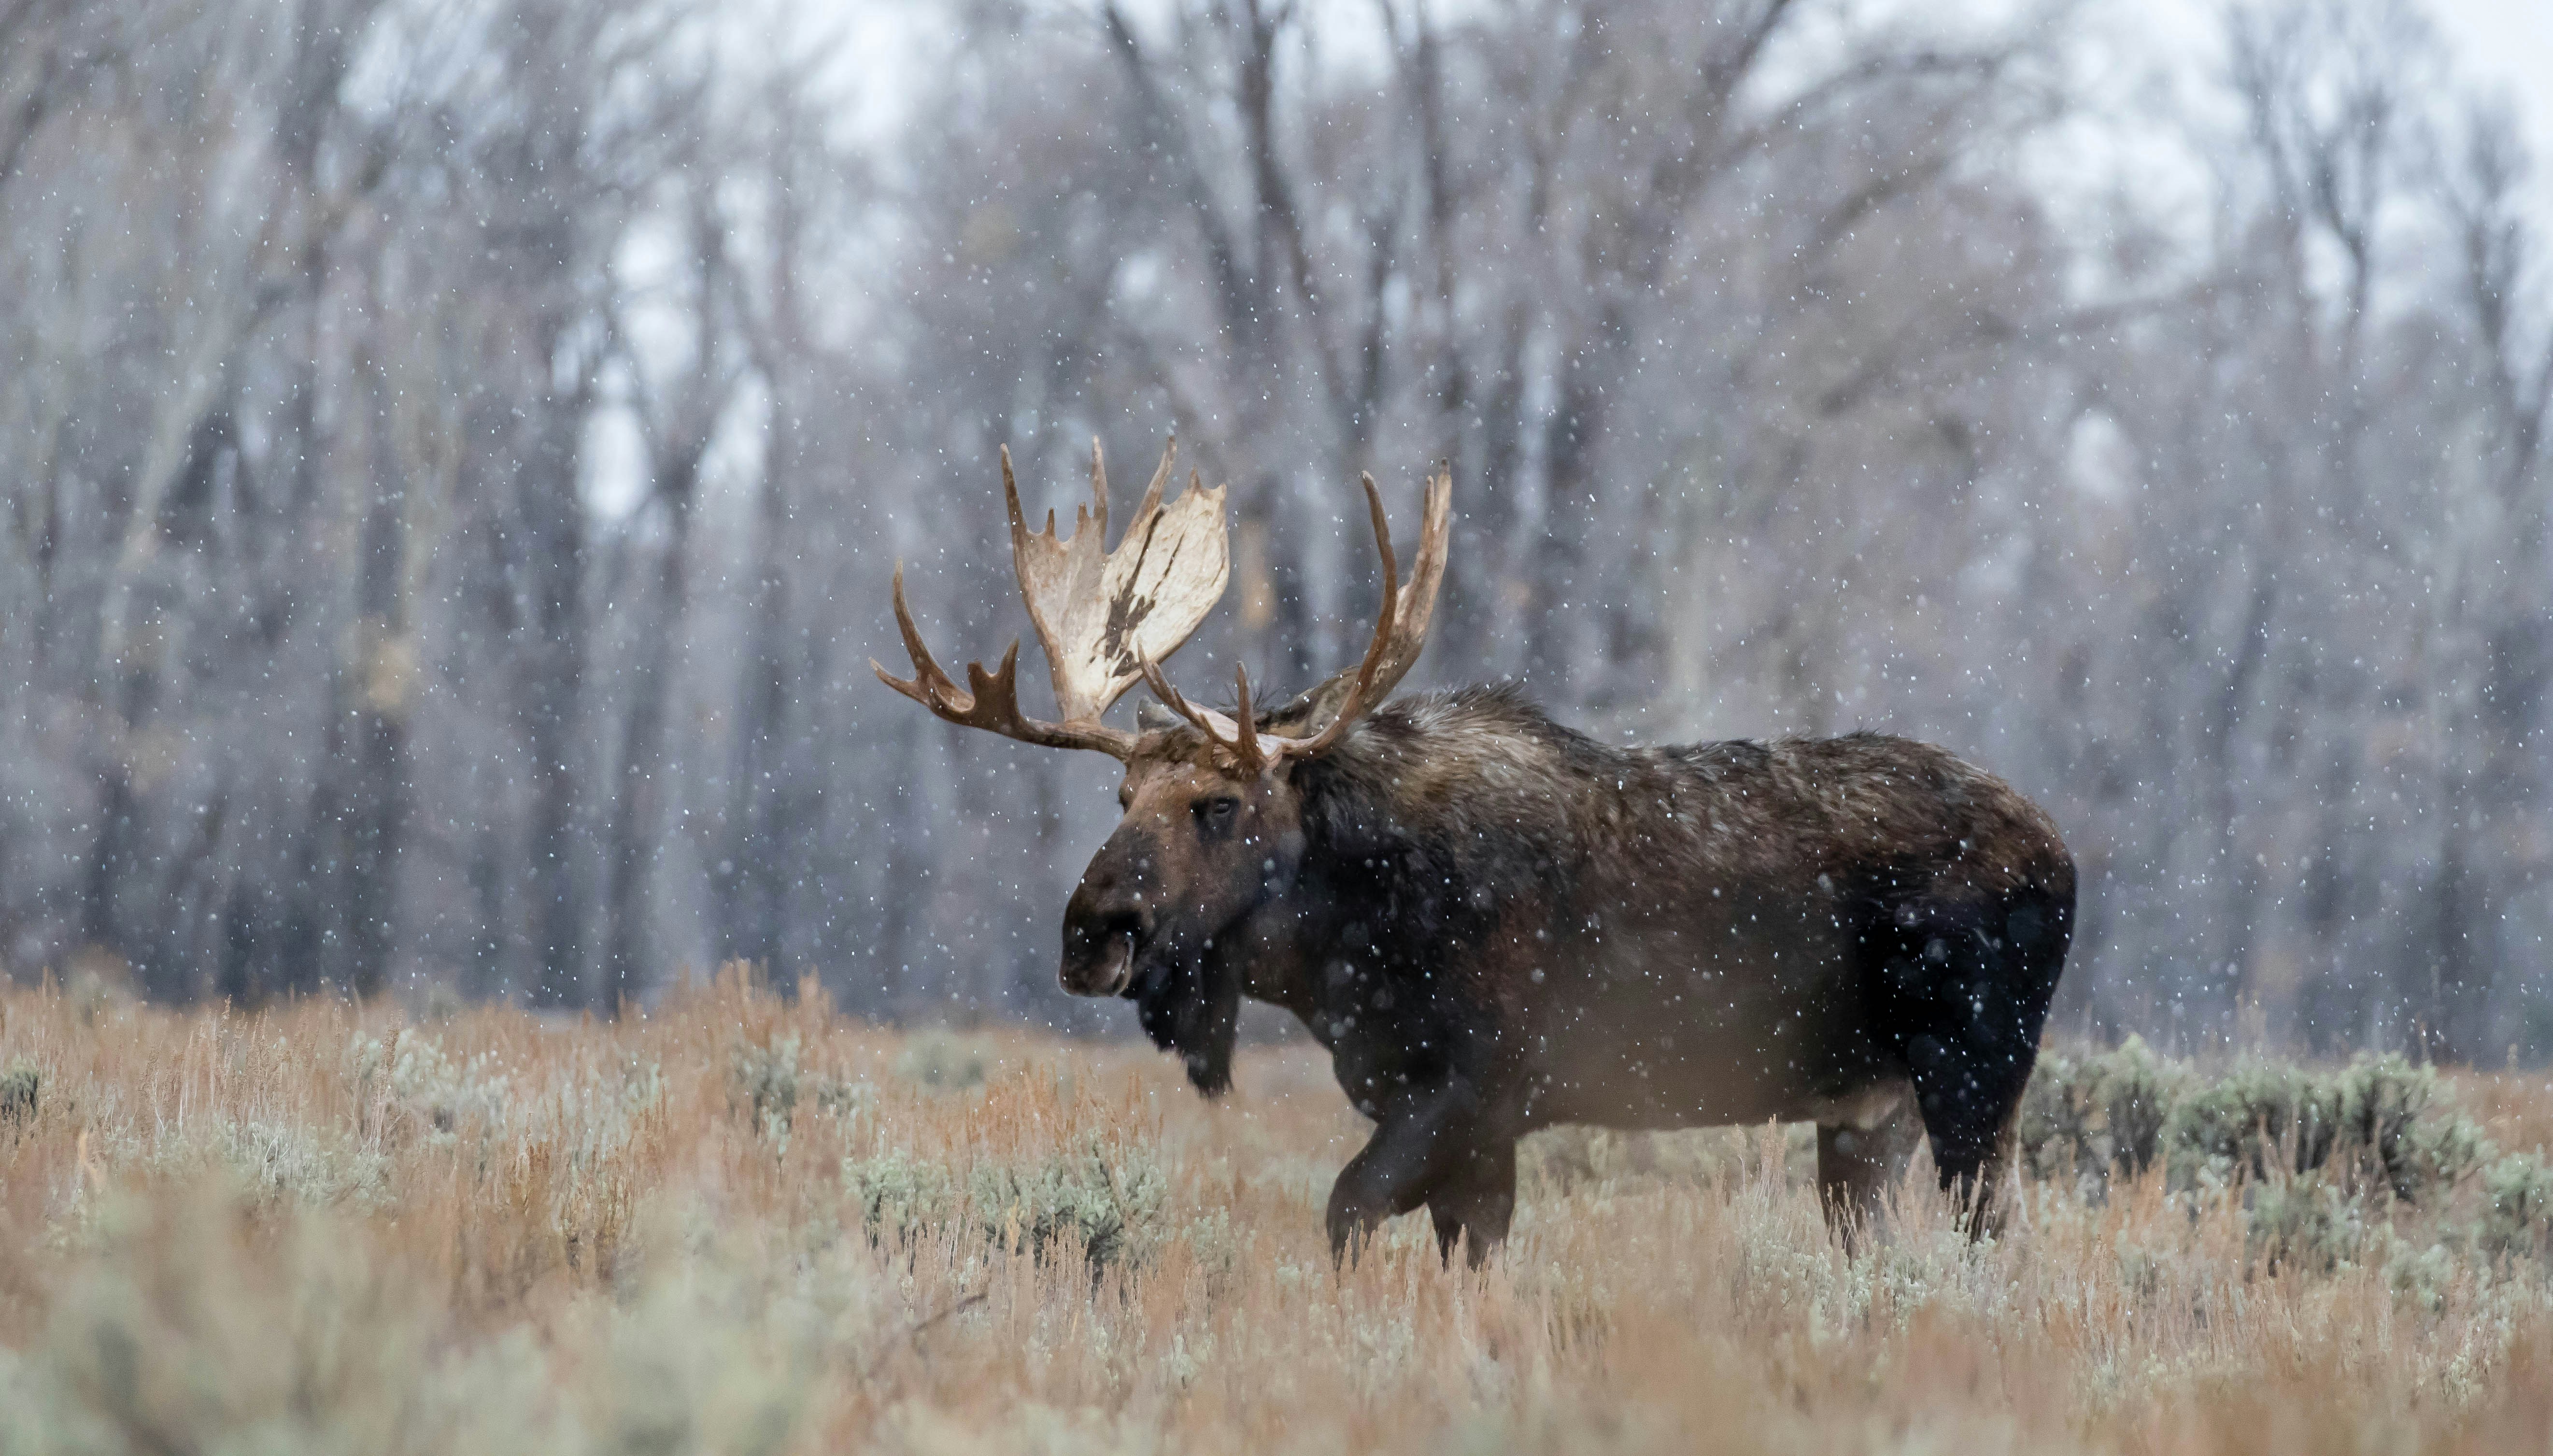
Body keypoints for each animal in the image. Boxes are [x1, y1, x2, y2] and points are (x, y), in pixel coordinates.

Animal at [877, 440, 2075, 1264]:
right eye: (1122, 792)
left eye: (1219, 803)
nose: (1091, 935)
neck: (1337, 954)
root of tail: (2064, 853)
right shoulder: (1458, 1124)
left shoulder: (1473, 1092)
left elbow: (1346, 1212)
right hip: (1867, 1115)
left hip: (1974, 1076)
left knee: (2000, 1240)